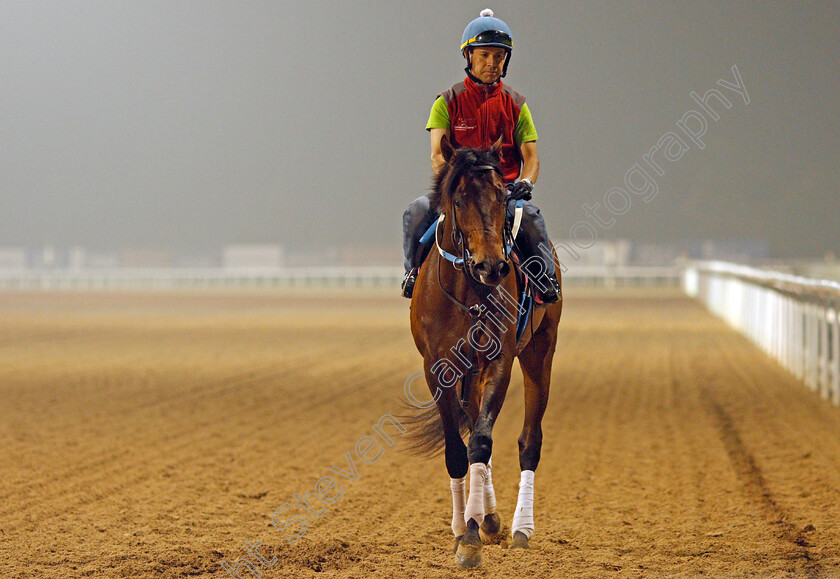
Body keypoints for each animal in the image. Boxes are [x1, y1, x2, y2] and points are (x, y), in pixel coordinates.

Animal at [408, 135, 560, 568]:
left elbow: (481, 441)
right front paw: (467, 528)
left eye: (500, 195)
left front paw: (473, 535)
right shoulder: (438, 367)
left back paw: (520, 528)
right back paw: (488, 518)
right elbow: (459, 451)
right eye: (458, 200)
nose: (491, 266)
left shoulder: (499, 361)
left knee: (529, 441)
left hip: (540, 351)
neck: (467, 291)